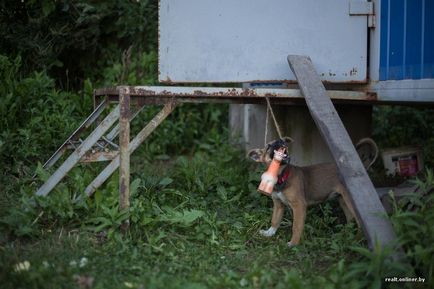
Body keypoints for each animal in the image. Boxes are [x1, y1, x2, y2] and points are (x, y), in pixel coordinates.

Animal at [249, 136, 378, 246]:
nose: (280, 141)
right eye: (268, 146)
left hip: (351, 201)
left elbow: (296, 226)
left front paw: (293, 244)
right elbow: (275, 220)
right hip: (342, 199)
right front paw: (269, 233)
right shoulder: (278, 204)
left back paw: (356, 240)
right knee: (351, 219)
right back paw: (346, 234)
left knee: (360, 223)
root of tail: (362, 167)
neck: (281, 176)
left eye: (282, 140)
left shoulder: (299, 206)